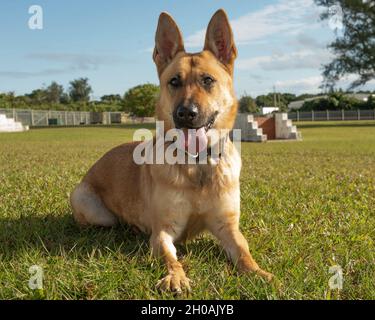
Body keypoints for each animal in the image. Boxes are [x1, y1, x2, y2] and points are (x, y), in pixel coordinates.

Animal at [70, 8, 274, 294]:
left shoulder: (227, 226)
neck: (198, 164)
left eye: (207, 80)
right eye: (174, 81)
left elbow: (244, 252)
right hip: (93, 208)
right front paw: (176, 276)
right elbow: (170, 257)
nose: (186, 113)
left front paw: (258, 273)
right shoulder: (163, 232)